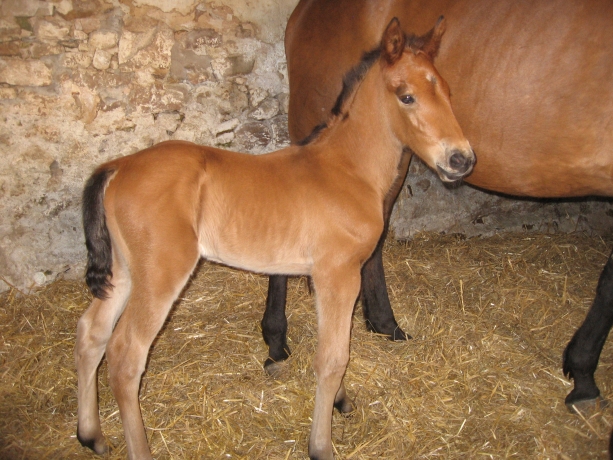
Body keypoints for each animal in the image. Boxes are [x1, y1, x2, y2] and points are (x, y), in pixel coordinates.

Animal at [73, 18, 474, 460]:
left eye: (448, 92)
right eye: (407, 96)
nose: (462, 159)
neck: (346, 169)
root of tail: (117, 165)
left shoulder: (321, 277)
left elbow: (329, 345)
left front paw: (340, 400)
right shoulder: (339, 275)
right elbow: (333, 358)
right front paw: (321, 444)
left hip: (126, 271)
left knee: (91, 332)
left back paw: (91, 434)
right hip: (161, 274)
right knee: (126, 355)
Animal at [262, 0, 612, 410]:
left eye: (448, 91)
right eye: (406, 96)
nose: (462, 159)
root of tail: (301, 12)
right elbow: (609, 283)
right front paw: (584, 375)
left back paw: (385, 325)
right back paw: (276, 343)